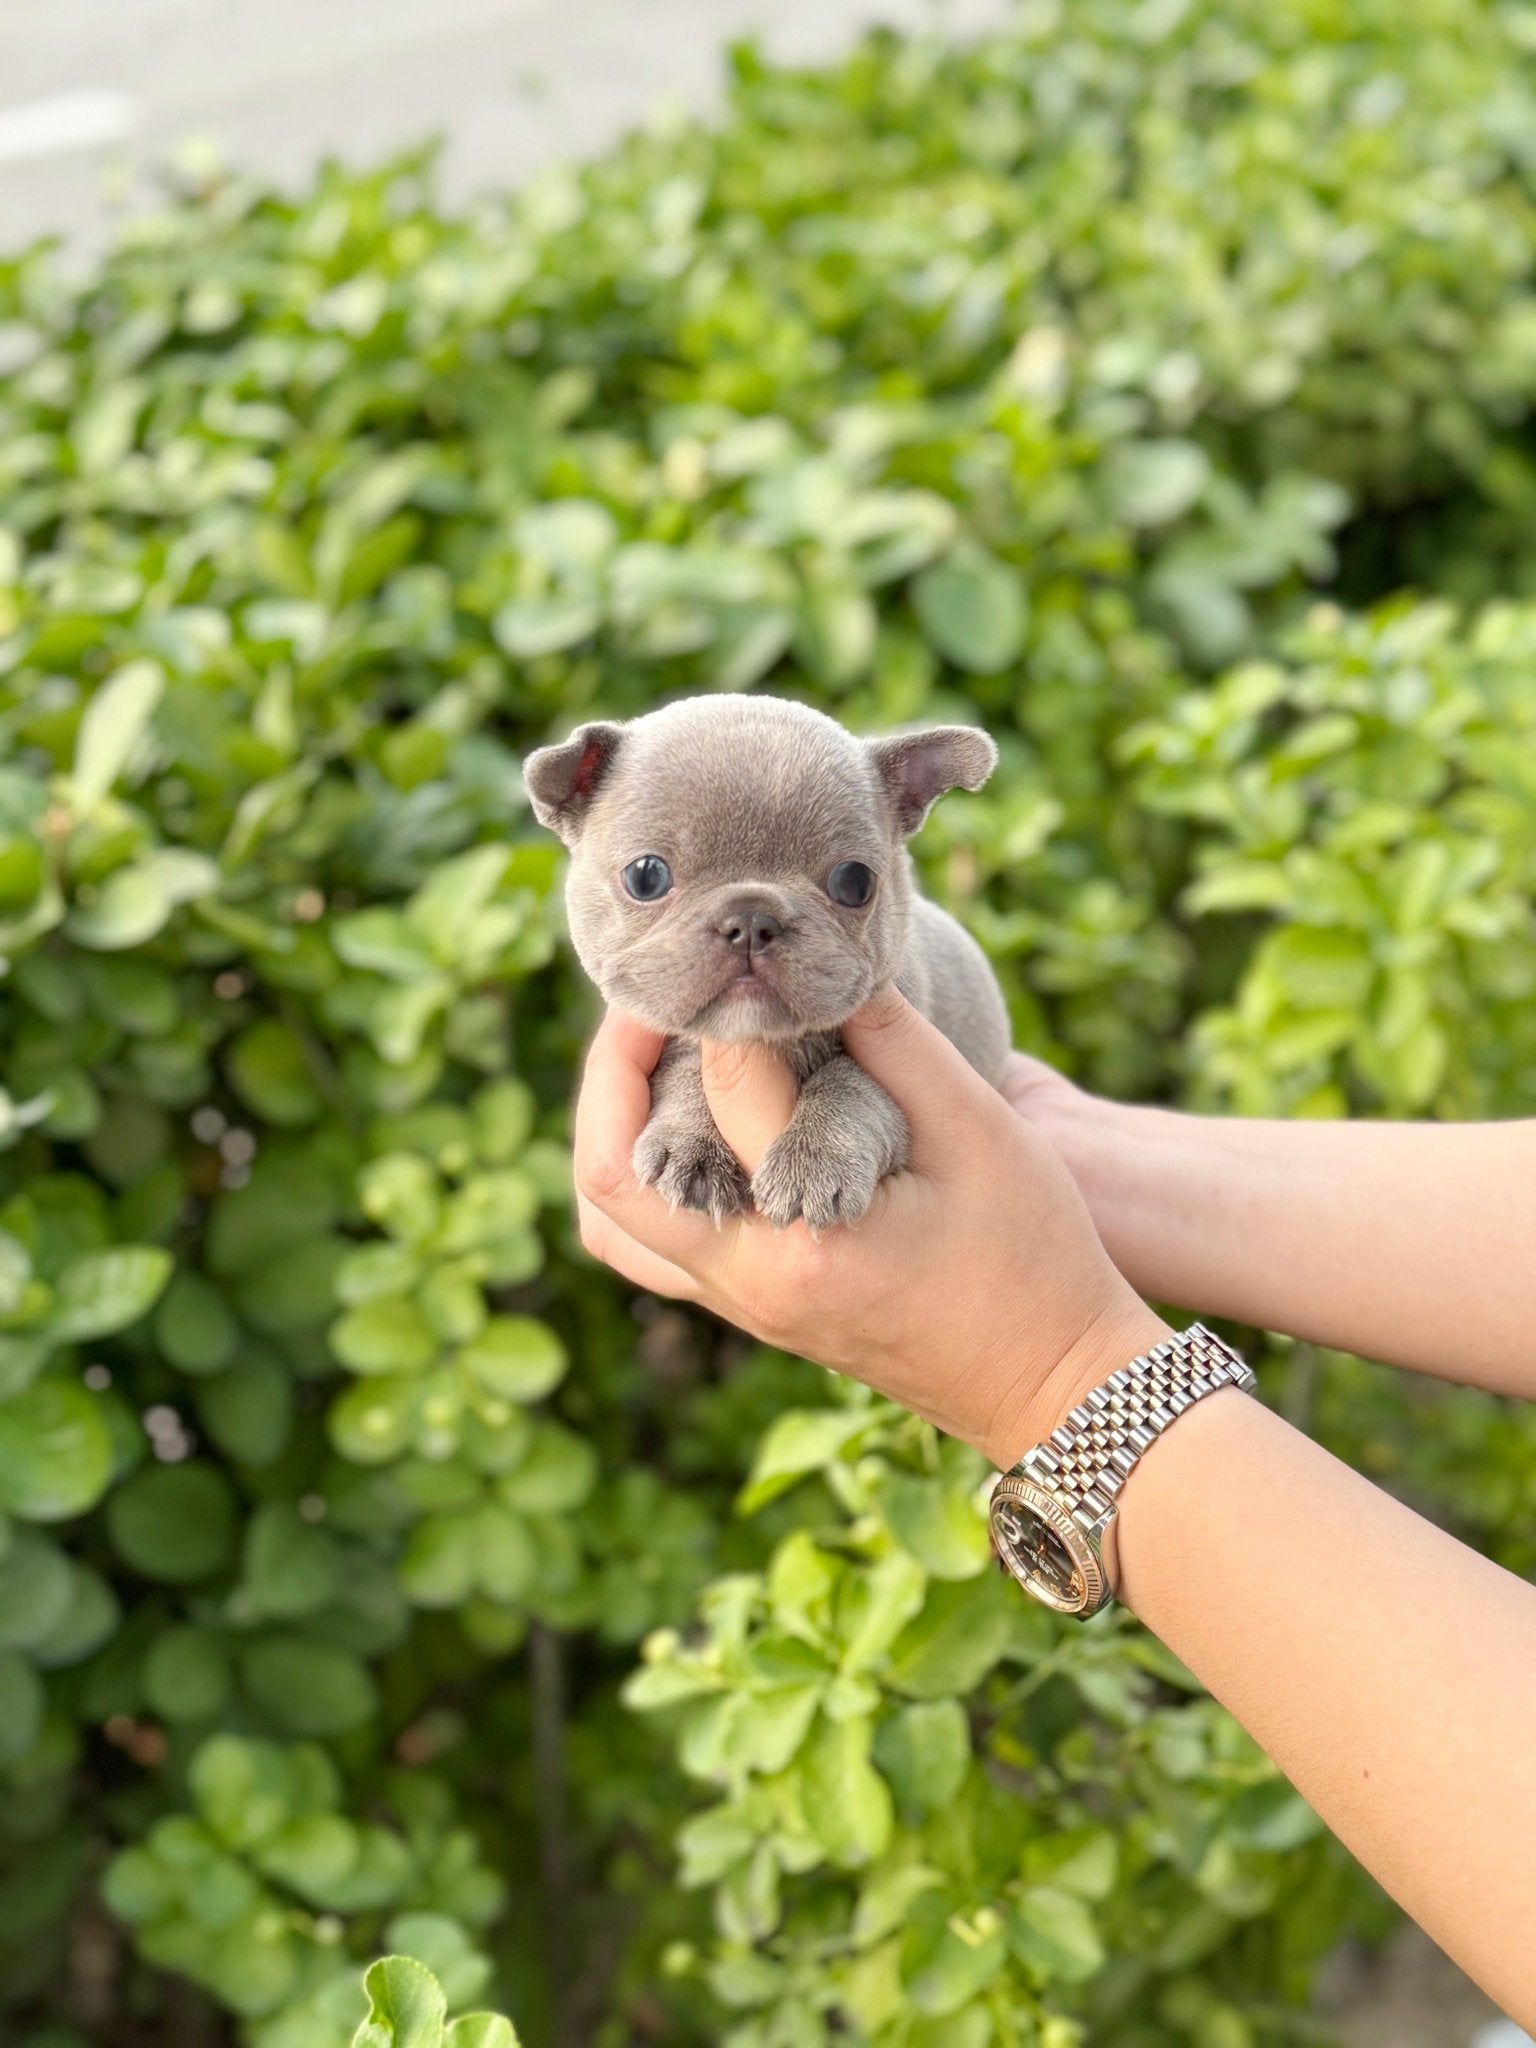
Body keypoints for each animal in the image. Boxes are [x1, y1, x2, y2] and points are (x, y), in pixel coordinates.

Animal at [524, 696, 1015, 1220]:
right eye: (645, 876)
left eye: (855, 882)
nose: (750, 918)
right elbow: (685, 1075)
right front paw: (694, 1144)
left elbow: (853, 1086)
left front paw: (814, 1161)